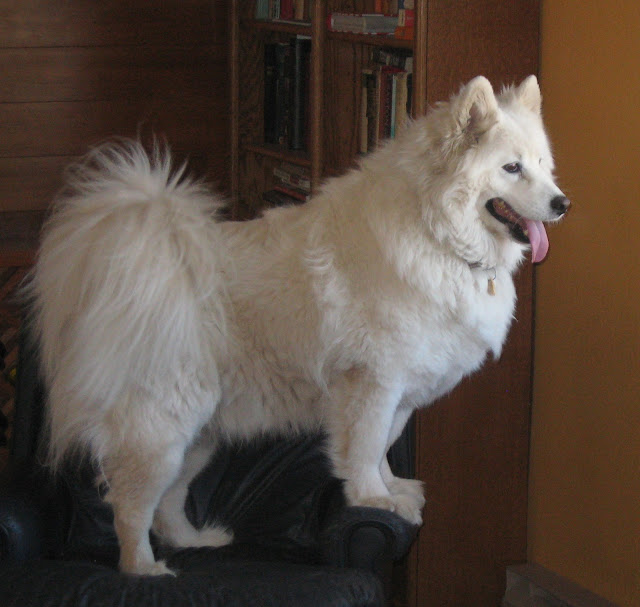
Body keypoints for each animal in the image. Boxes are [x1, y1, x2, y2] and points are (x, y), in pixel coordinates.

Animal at [28, 75, 569, 575]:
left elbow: (384, 447)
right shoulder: (373, 384)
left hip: (200, 438)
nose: (562, 204)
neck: (434, 232)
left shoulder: (400, 393)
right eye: (512, 168)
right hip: (163, 430)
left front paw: (394, 489)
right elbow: (364, 448)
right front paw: (373, 499)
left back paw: (196, 540)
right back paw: (143, 570)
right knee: (130, 506)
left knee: (168, 503)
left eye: (544, 166)